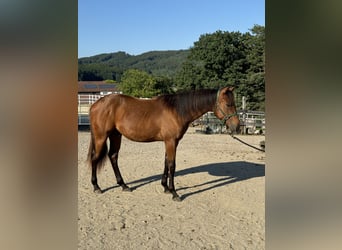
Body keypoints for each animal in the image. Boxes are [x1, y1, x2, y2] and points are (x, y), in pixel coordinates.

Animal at [87, 86, 239, 201]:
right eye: (228, 104)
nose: (236, 126)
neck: (177, 110)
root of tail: (95, 104)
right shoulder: (171, 141)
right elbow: (172, 165)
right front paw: (174, 192)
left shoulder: (171, 142)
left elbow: (166, 162)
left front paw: (165, 187)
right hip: (101, 137)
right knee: (95, 158)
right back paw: (96, 187)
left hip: (115, 135)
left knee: (113, 156)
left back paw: (123, 185)